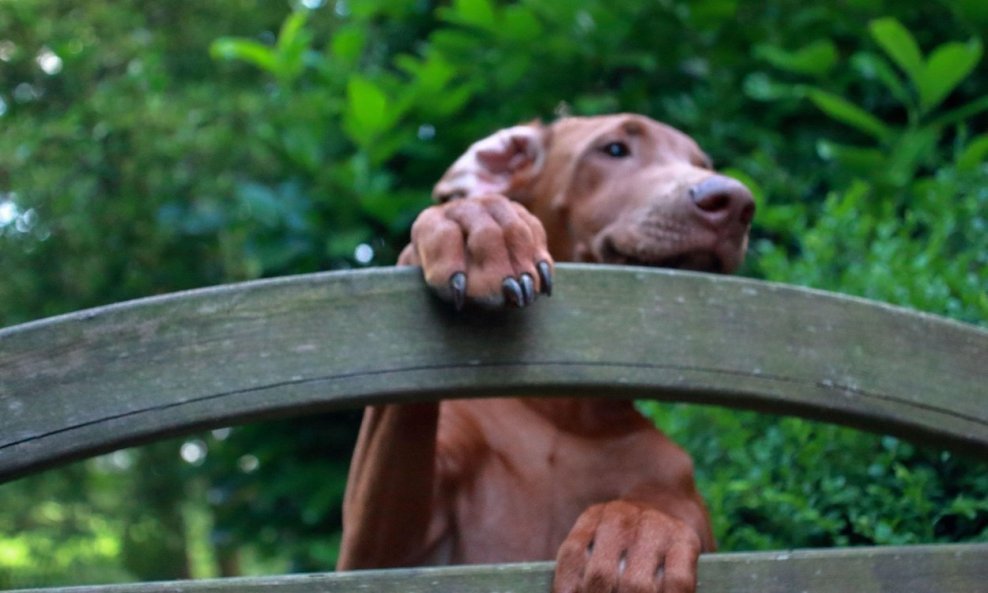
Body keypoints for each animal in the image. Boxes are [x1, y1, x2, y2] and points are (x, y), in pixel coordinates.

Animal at [336, 114, 752, 592]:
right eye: (613, 149)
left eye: (701, 164)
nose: (734, 201)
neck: (566, 412)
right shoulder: (380, 560)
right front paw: (479, 224)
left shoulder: (672, 475)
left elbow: (664, 501)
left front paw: (636, 530)